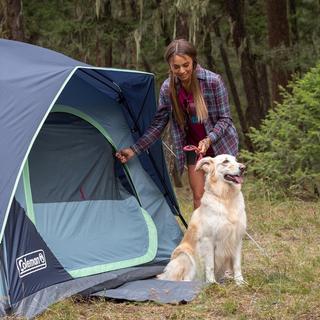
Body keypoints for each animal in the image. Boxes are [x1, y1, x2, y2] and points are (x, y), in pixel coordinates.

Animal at [158, 154, 248, 284]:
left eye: (236, 160)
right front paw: (212, 283)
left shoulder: (237, 238)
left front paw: (240, 282)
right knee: (184, 279)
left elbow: (237, 265)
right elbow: (210, 265)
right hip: (185, 256)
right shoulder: (208, 240)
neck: (225, 198)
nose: (243, 168)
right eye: (225, 161)